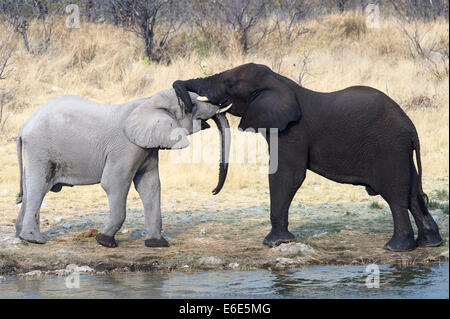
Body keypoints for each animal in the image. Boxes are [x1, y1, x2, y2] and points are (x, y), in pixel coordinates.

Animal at [15, 89, 230, 249]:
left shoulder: (147, 147)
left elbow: (150, 186)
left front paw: (157, 244)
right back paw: (34, 240)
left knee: (28, 189)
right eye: (191, 106)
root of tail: (23, 127)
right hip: (41, 150)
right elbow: (114, 183)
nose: (213, 190)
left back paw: (20, 236)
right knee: (38, 188)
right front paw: (104, 241)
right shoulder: (126, 147)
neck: (148, 101)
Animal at [172, 62, 442, 252]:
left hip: (389, 149)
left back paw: (395, 248)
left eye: (228, 83)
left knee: (395, 196)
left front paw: (274, 243)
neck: (278, 80)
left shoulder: (292, 130)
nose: (213, 191)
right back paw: (431, 243)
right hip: (401, 152)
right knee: (413, 194)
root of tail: (411, 128)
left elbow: (287, 175)